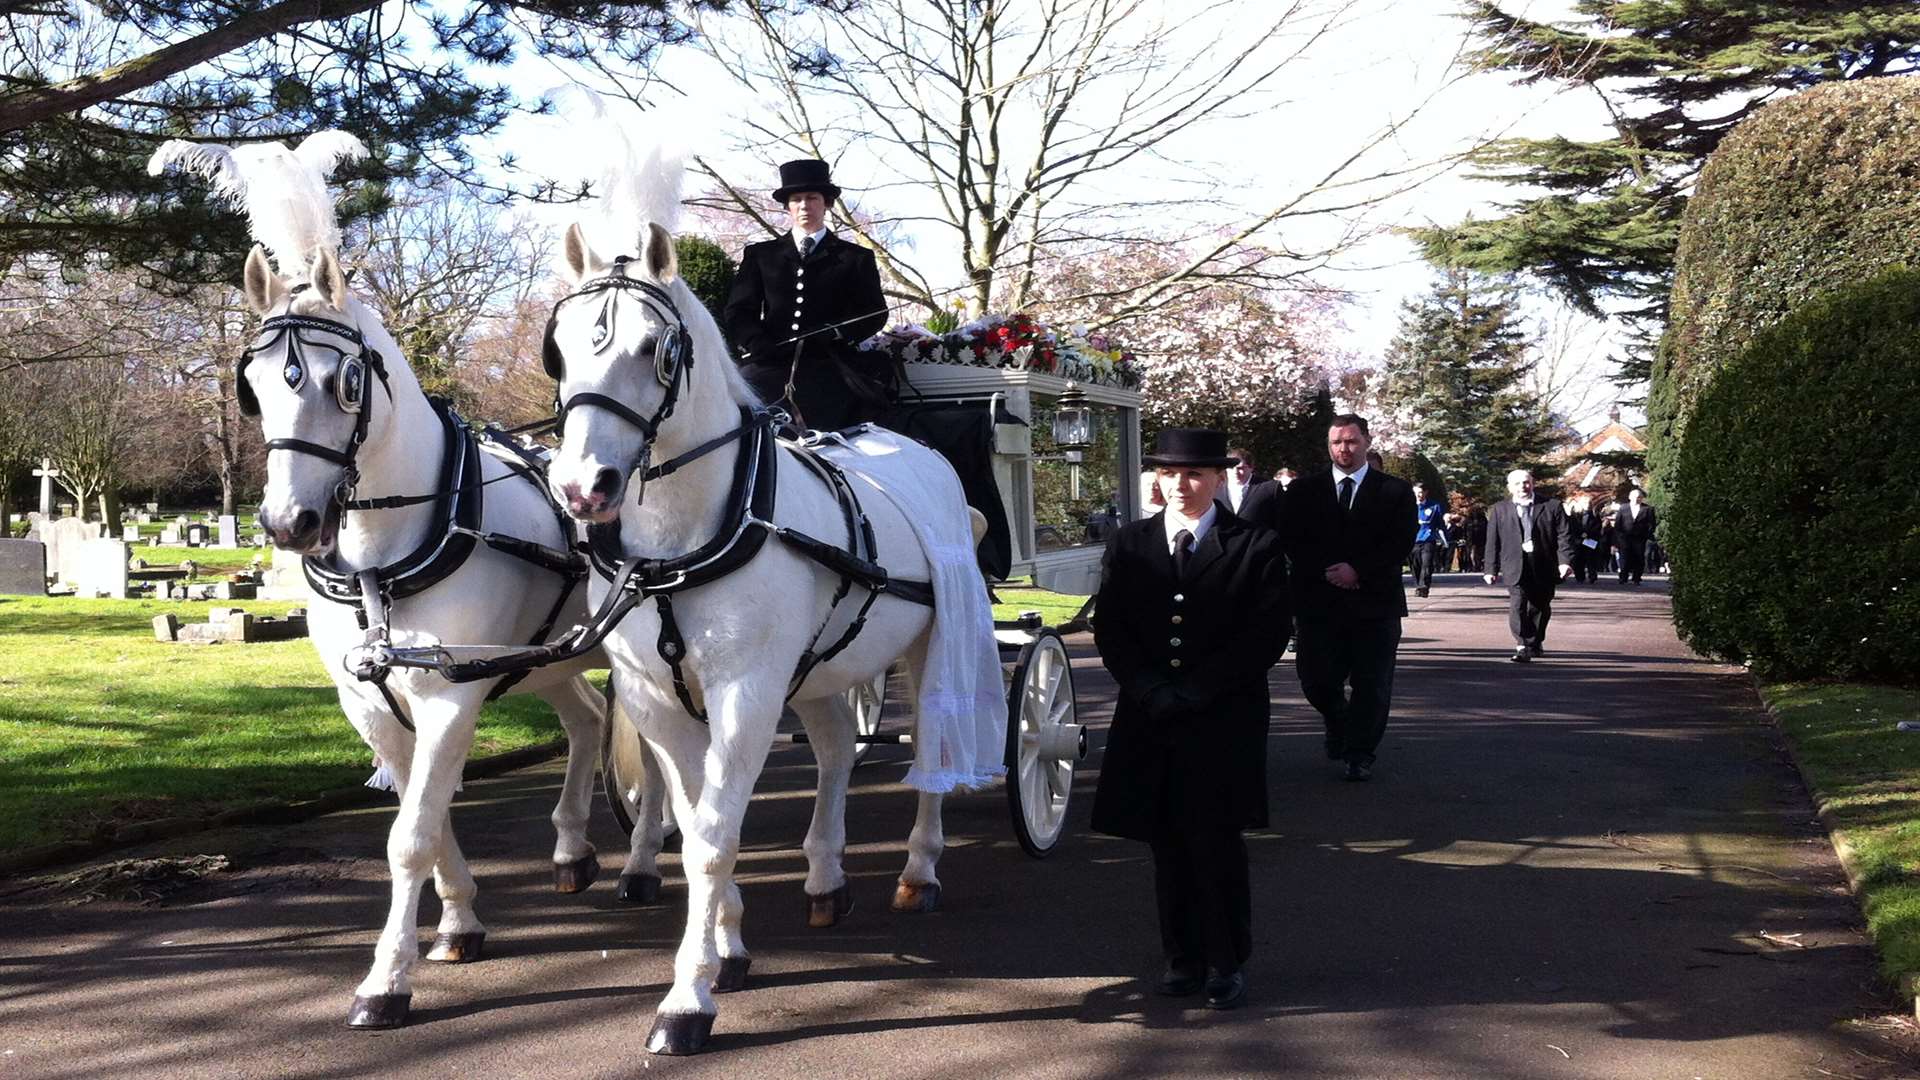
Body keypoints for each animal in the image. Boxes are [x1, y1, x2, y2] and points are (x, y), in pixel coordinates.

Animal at [537, 219, 998, 1053]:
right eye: (556, 349)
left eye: (658, 348)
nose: (584, 488)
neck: (680, 543)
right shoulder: (657, 702)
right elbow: (695, 829)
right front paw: (728, 945)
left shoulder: (746, 694)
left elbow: (717, 833)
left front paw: (687, 998)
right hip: (817, 673)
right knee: (836, 751)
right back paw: (824, 878)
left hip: (932, 648)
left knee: (935, 750)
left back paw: (919, 871)